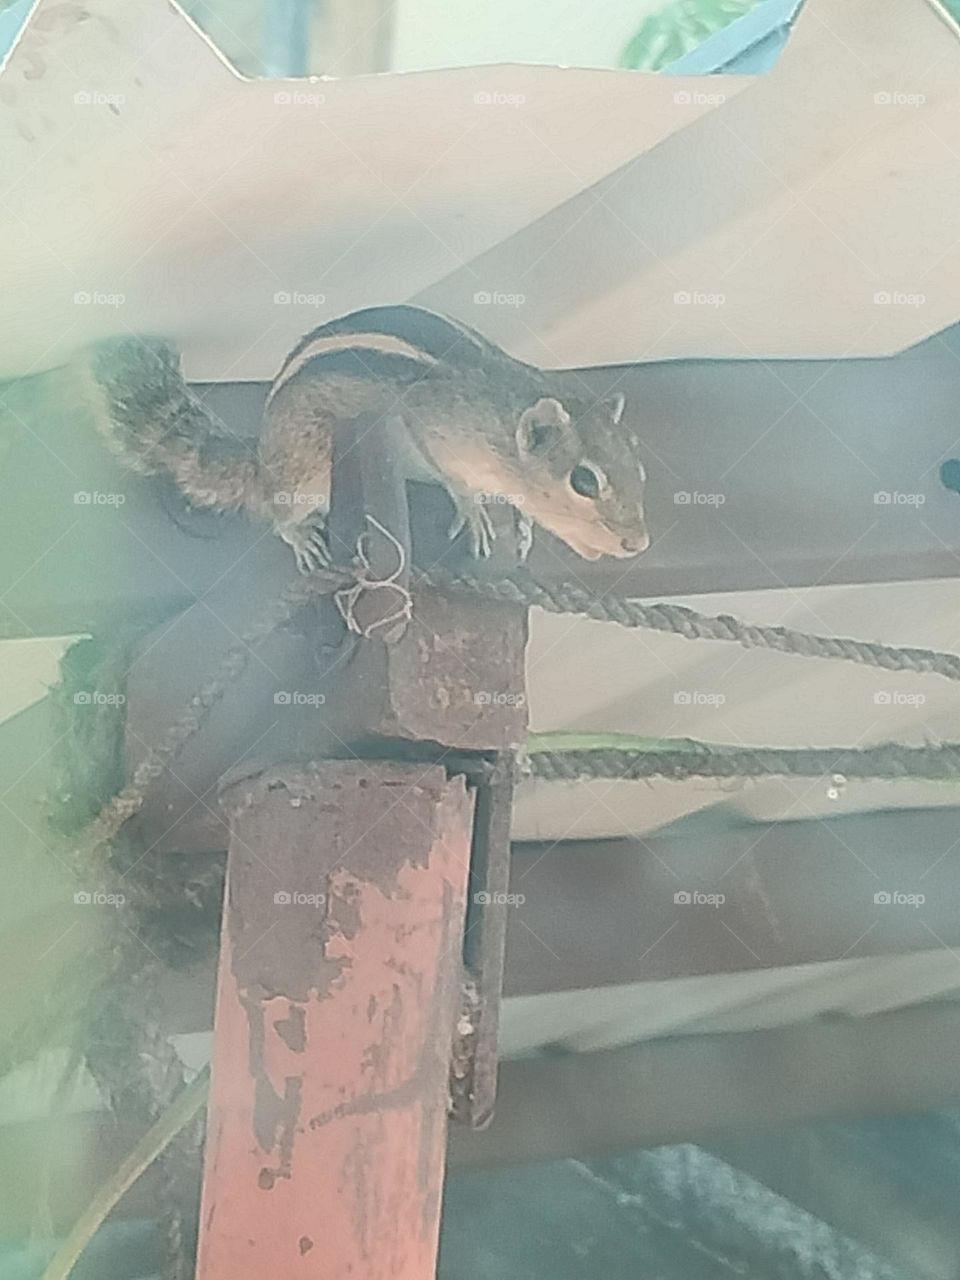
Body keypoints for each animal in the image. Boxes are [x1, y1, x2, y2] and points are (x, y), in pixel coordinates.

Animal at [83, 304, 650, 570]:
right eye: (583, 481)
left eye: (638, 467)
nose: (637, 543)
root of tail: (263, 457)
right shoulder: (433, 427)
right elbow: (456, 482)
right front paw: (474, 513)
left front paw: (525, 525)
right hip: (307, 469)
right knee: (275, 507)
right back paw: (299, 535)